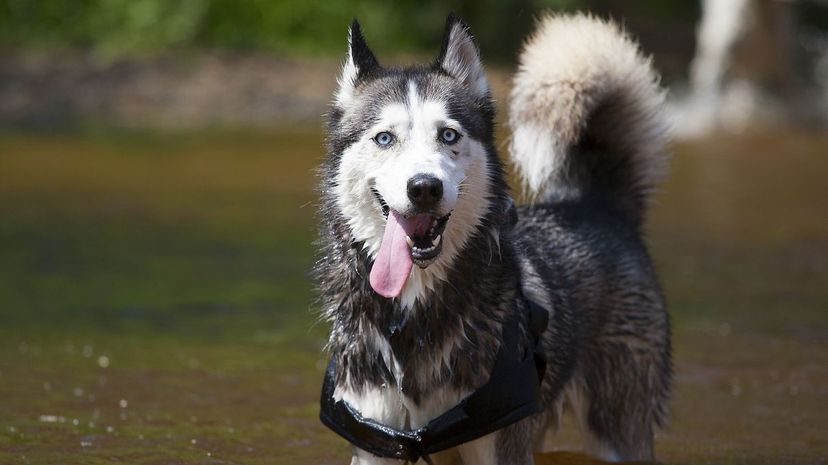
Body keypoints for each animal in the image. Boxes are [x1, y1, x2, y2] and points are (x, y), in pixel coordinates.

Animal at [316, 12, 672, 462]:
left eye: (448, 135)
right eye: (384, 138)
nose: (424, 187)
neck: (414, 315)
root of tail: (591, 203)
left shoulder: (500, 446)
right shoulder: (374, 443)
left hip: (618, 428)